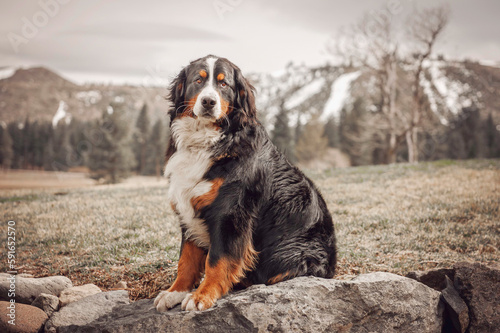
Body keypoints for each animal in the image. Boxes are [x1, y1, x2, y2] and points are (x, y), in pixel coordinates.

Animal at [154, 55, 338, 312]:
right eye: (198, 80)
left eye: (224, 84)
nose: (208, 102)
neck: (209, 140)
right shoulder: (187, 209)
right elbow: (186, 260)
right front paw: (175, 292)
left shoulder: (230, 213)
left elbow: (217, 259)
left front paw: (203, 295)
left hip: (290, 253)